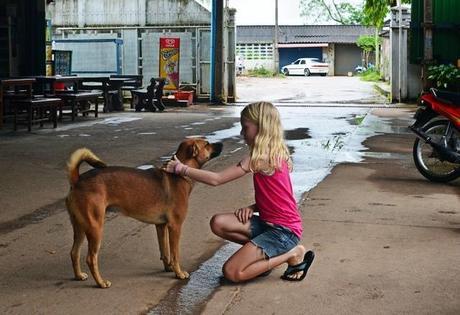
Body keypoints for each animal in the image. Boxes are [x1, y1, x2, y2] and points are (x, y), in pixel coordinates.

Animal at [65, 138, 222, 288]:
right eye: (207, 144)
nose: (221, 143)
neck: (177, 174)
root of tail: (77, 180)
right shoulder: (175, 227)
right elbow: (175, 254)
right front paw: (178, 273)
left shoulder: (161, 226)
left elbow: (165, 252)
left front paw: (168, 267)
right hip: (95, 228)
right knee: (91, 258)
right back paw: (101, 283)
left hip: (80, 227)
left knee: (74, 253)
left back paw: (79, 275)